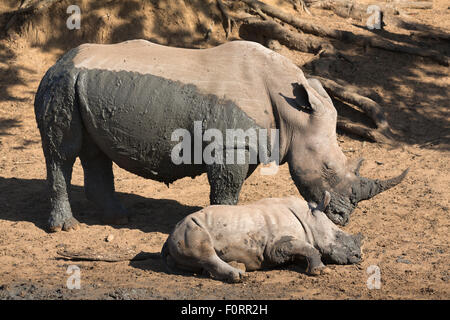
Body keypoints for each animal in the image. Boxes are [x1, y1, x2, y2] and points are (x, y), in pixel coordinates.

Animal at [162, 191, 362, 282]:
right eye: (337, 236)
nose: (359, 256)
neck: (308, 218)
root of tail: (168, 236)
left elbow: (306, 249)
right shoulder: (276, 246)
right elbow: (309, 248)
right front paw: (321, 271)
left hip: (186, 230)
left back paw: (238, 267)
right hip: (189, 228)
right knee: (205, 251)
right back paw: (238, 276)